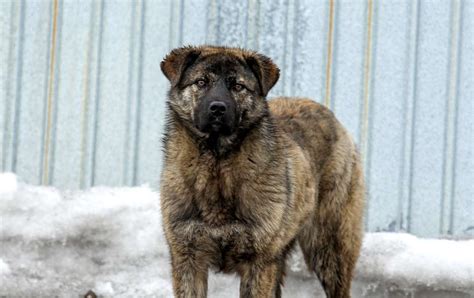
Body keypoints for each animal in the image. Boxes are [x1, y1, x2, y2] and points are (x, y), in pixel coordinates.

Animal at [161, 45, 364, 296]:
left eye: (238, 86)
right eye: (201, 82)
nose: (217, 108)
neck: (217, 167)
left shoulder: (258, 263)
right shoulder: (188, 259)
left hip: (328, 250)